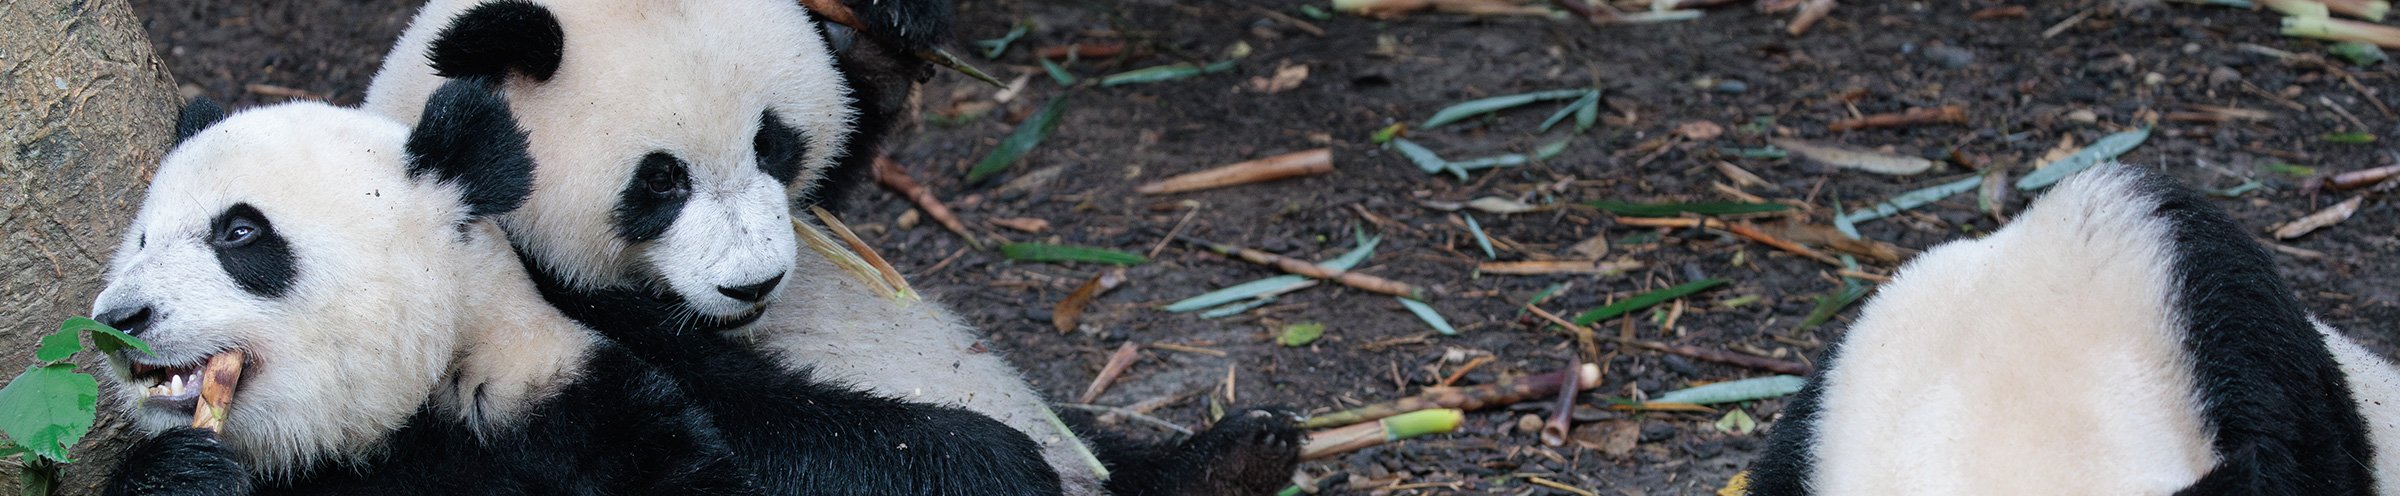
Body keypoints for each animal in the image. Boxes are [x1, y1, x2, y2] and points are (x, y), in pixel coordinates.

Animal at [359, 1, 1302, 495]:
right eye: (660, 181)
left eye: (773, 143)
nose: (754, 285)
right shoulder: (528, 306)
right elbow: (750, 435)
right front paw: (994, 464)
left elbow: (841, 169)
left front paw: (880, 34)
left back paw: (1234, 454)